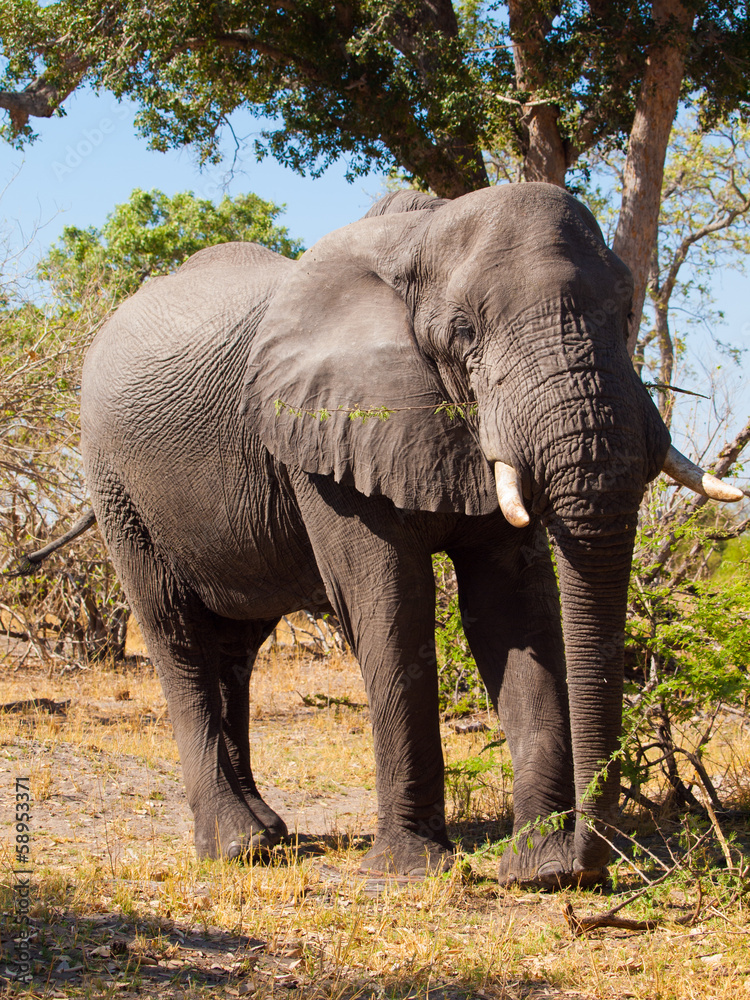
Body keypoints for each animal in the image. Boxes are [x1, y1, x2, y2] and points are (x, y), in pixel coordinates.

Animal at [80, 182, 741, 888]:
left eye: (627, 313)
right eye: (464, 332)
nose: (585, 865)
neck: (420, 235)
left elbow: (512, 610)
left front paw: (535, 868)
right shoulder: (327, 431)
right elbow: (391, 605)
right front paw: (410, 869)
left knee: (234, 646)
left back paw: (271, 833)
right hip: (117, 484)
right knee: (177, 637)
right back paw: (238, 847)